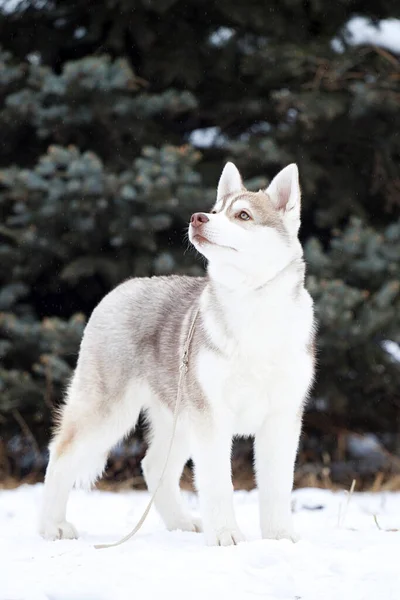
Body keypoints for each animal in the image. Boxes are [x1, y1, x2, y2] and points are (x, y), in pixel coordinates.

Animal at [39, 162, 316, 548]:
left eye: (243, 215)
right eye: (216, 210)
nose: (198, 218)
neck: (252, 311)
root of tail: (124, 286)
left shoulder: (282, 416)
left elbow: (277, 486)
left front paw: (279, 537)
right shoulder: (211, 416)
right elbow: (217, 482)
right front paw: (226, 534)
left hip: (179, 414)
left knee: (153, 465)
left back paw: (181, 523)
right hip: (108, 409)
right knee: (61, 454)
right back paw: (52, 526)